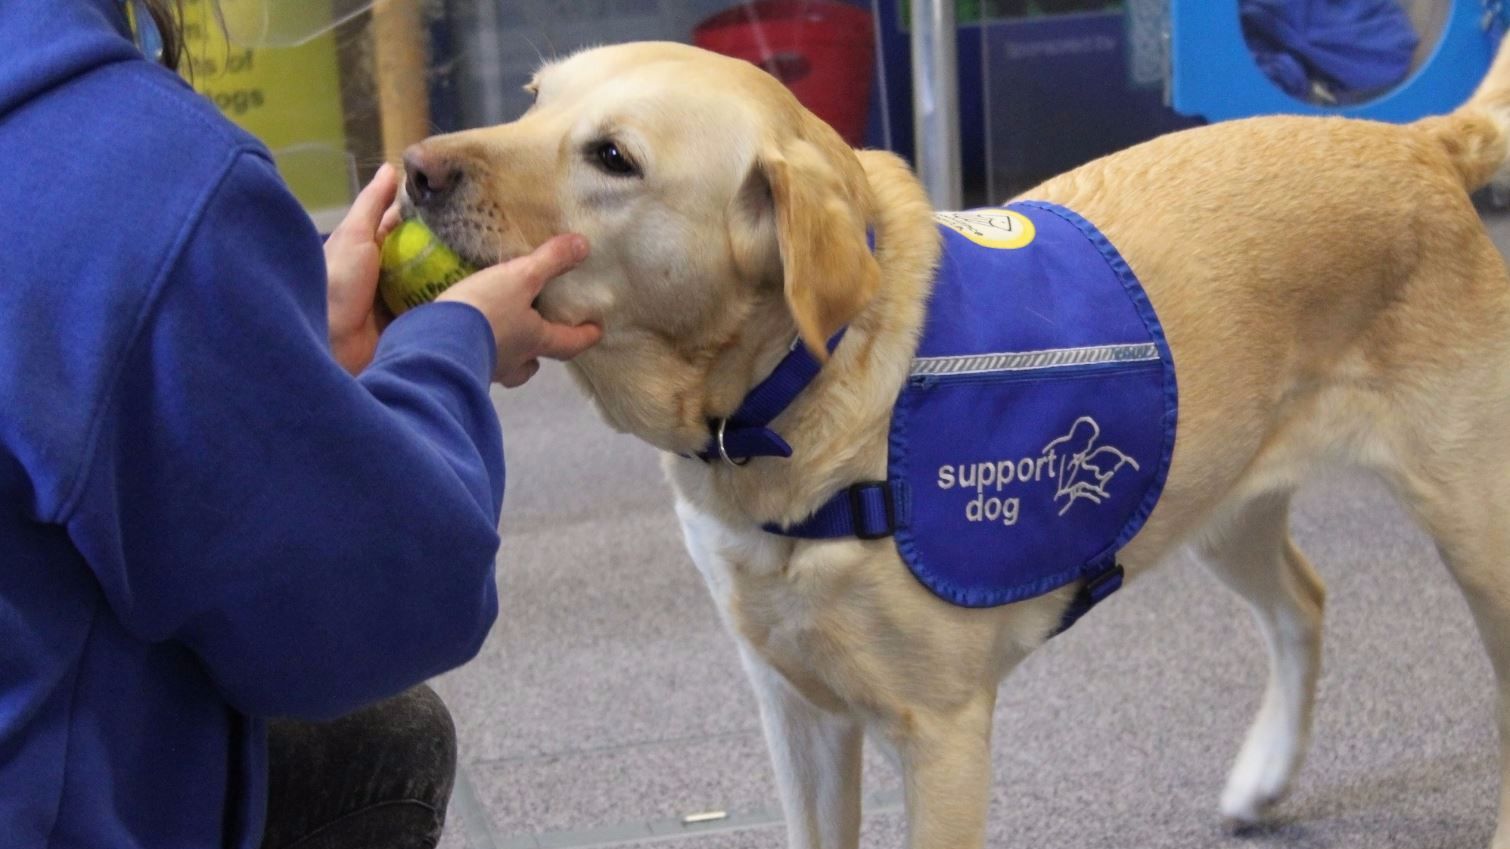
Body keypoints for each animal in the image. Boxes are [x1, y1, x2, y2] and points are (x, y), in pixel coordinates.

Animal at [398, 37, 1510, 839]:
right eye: (533, 99)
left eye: (613, 157)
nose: (412, 168)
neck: (781, 411)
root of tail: (1419, 140)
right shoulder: (797, 715)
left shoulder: (937, 737)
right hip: (1211, 492)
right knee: (1303, 603)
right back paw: (1261, 778)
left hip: (1475, 532)